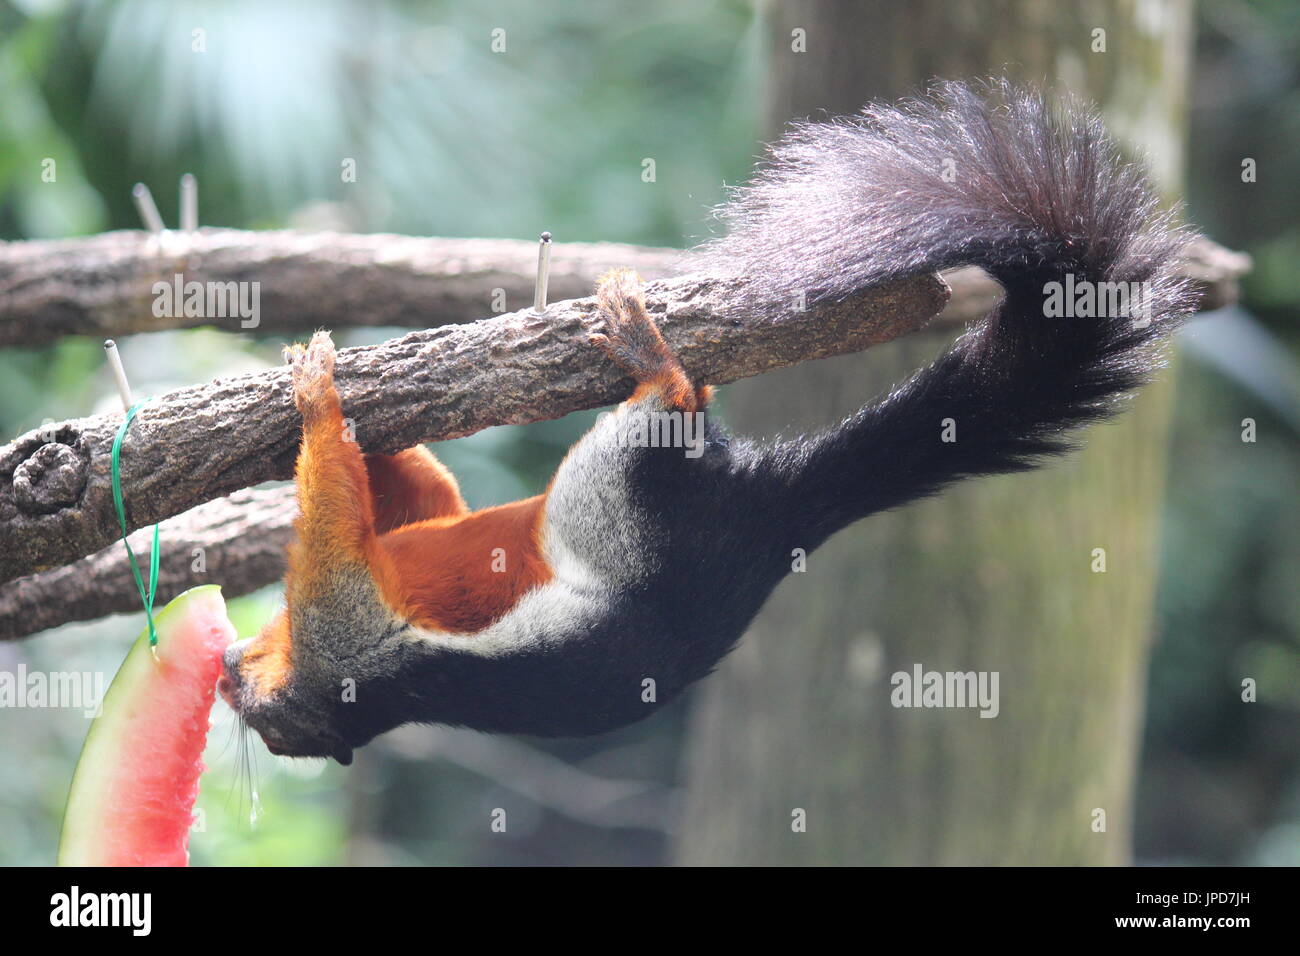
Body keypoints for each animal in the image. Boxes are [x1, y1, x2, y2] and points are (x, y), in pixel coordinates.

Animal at [218, 80, 1196, 765]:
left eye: (253, 697)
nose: (225, 669)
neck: (348, 689)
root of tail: (762, 520)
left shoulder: (350, 623)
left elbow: (411, 505)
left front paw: (325, 397)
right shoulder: (352, 637)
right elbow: (347, 544)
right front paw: (321, 401)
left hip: (601, 491)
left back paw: (652, 353)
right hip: (612, 496)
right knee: (669, 415)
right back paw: (657, 362)